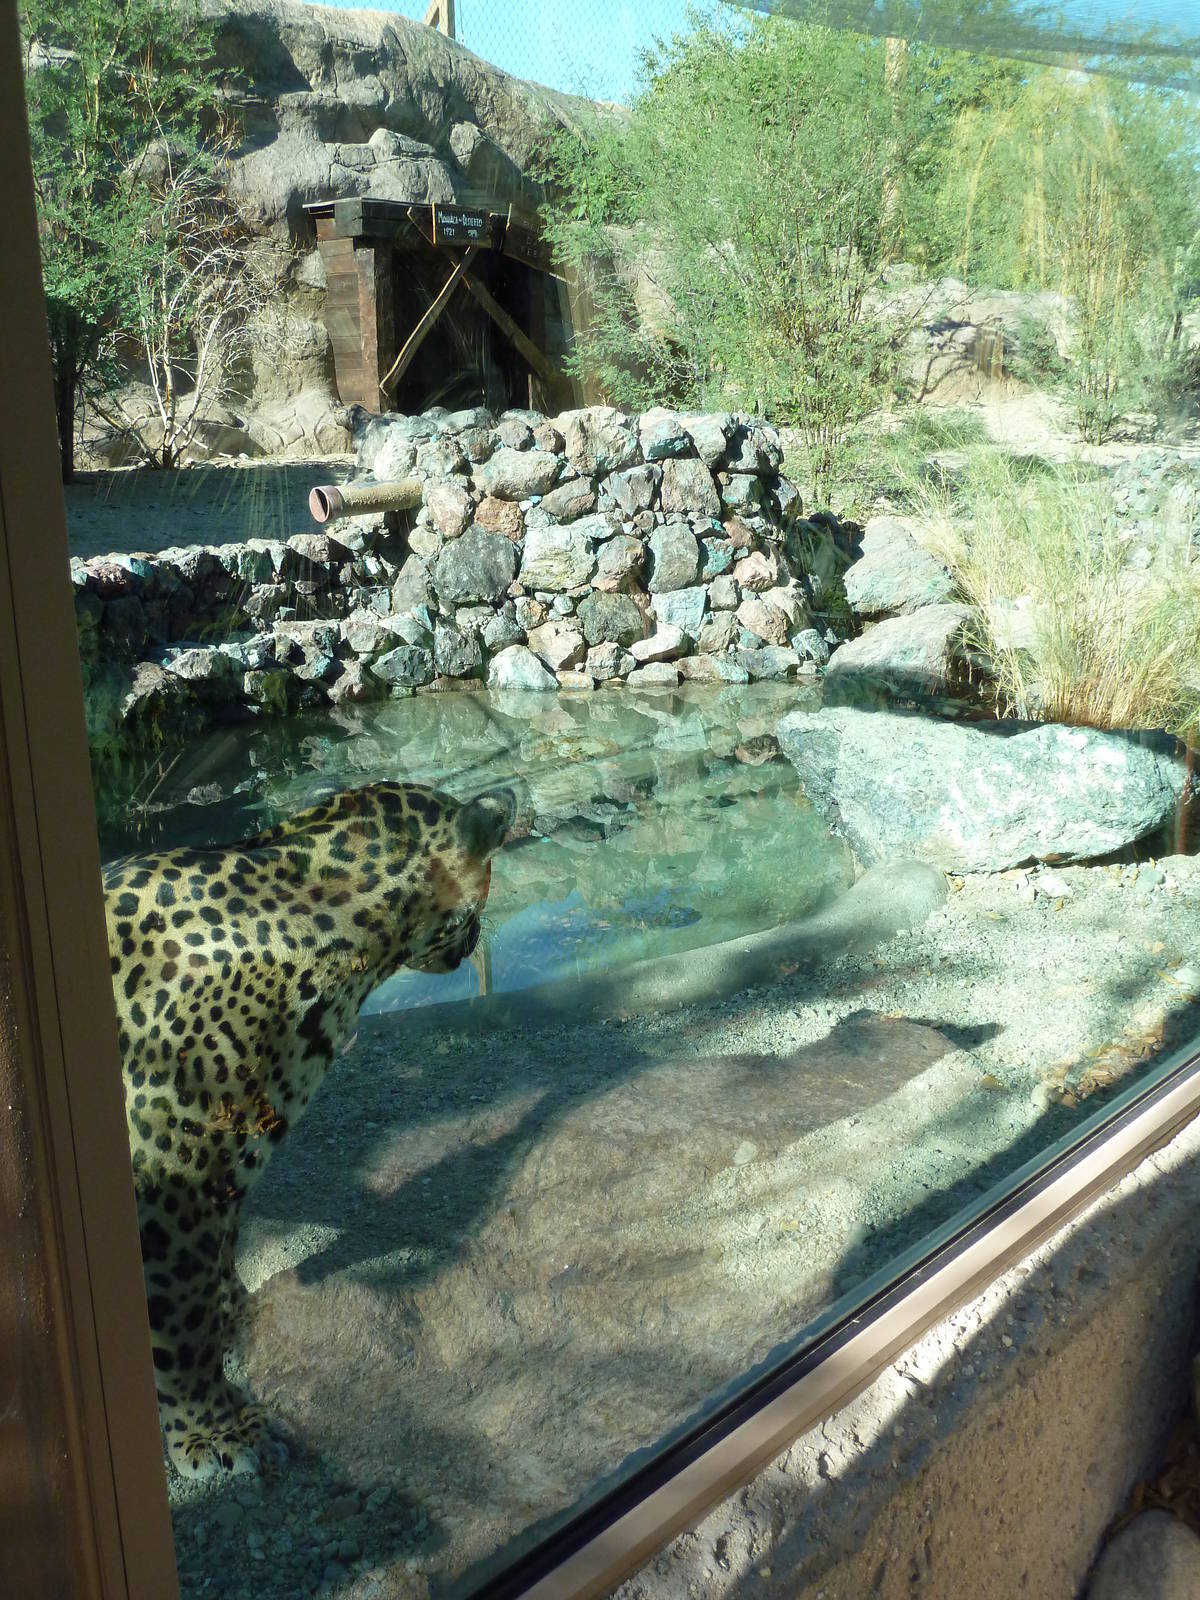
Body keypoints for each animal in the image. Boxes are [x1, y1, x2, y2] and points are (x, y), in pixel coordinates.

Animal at [102, 781, 515, 1480]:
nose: (481, 931)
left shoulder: (226, 1170)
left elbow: (218, 1265)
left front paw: (236, 1317)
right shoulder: (170, 1180)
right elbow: (182, 1322)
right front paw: (214, 1430)